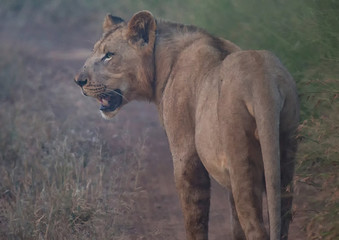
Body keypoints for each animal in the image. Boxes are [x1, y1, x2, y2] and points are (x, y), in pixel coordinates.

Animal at [75, 10, 300, 239]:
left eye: (109, 55)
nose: (79, 81)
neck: (161, 64)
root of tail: (261, 79)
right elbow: (235, 224)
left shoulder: (186, 156)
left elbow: (195, 219)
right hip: (284, 159)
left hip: (241, 161)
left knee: (256, 229)